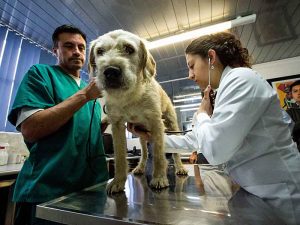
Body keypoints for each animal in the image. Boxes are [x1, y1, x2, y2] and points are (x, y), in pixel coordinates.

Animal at [88, 29, 188, 194]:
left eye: (129, 49)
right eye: (100, 51)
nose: (110, 71)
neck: (131, 94)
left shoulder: (156, 123)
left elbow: (159, 155)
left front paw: (159, 178)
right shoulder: (117, 125)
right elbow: (120, 157)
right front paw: (118, 181)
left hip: (172, 125)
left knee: (174, 152)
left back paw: (180, 167)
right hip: (141, 136)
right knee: (145, 153)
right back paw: (140, 167)